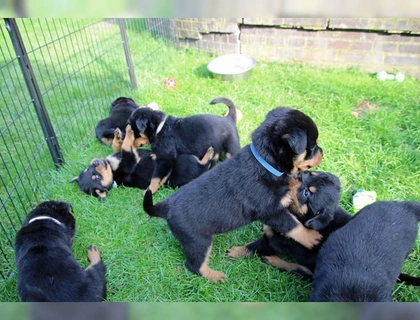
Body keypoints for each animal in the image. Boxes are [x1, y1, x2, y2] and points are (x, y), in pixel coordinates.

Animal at [72, 125, 213, 200]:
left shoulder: (124, 154)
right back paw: (209, 153)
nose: (96, 163)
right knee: (204, 165)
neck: (112, 169)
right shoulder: (130, 161)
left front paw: (118, 136)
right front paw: (128, 134)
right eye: (96, 177)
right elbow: (126, 147)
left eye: (89, 169)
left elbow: (118, 146)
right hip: (189, 163)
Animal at [143, 107, 324, 280]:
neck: (265, 162)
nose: (322, 152)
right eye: (313, 147)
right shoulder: (269, 210)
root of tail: (166, 208)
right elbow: (292, 224)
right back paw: (215, 276)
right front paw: (311, 237)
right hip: (197, 241)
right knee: (195, 265)